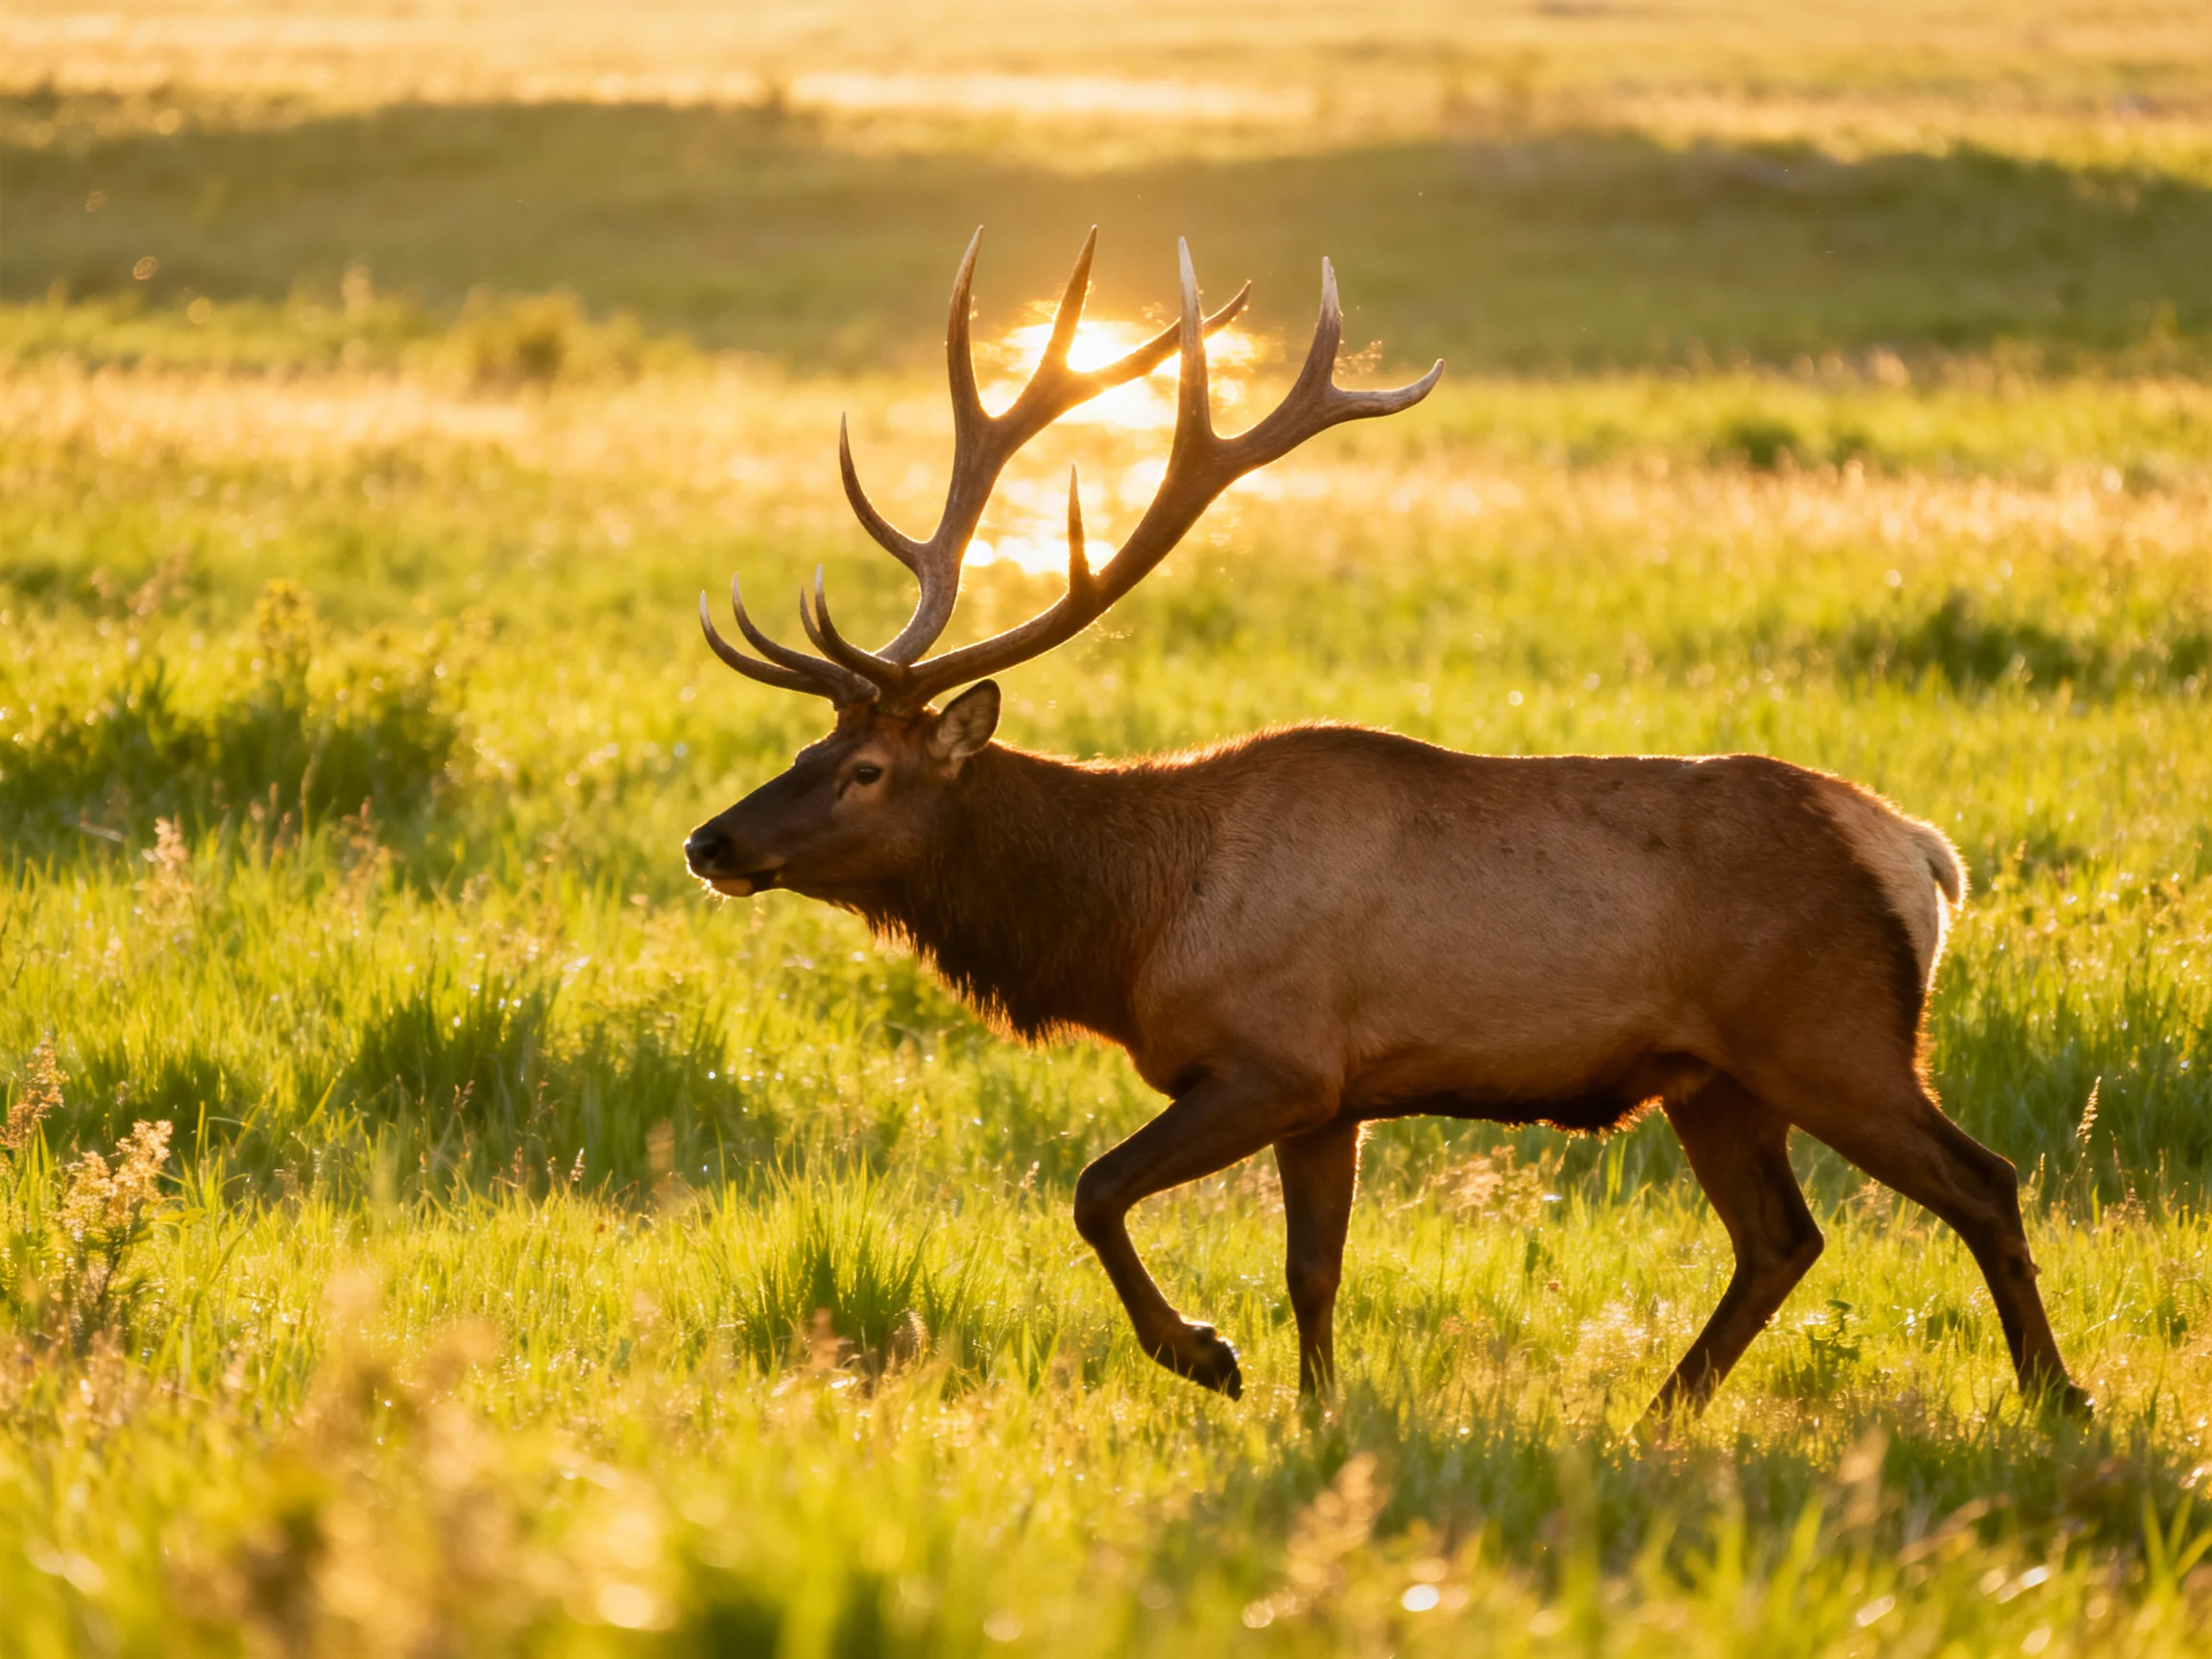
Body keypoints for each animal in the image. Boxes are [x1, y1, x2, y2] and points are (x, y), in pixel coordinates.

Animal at [683, 228, 2088, 1420]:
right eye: (806, 747)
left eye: (866, 768)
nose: (712, 843)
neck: (1131, 928)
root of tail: (1924, 859)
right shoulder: (1331, 1098)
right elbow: (1314, 1270)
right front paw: (1316, 1409)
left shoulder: (1274, 1060)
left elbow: (1095, 1190)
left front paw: (1205, 1356)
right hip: (1715, 1078)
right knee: (1782, 1237)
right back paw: (1662, 1412)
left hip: (1831, 1035)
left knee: (1981, 1180)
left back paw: (2053, 1396)